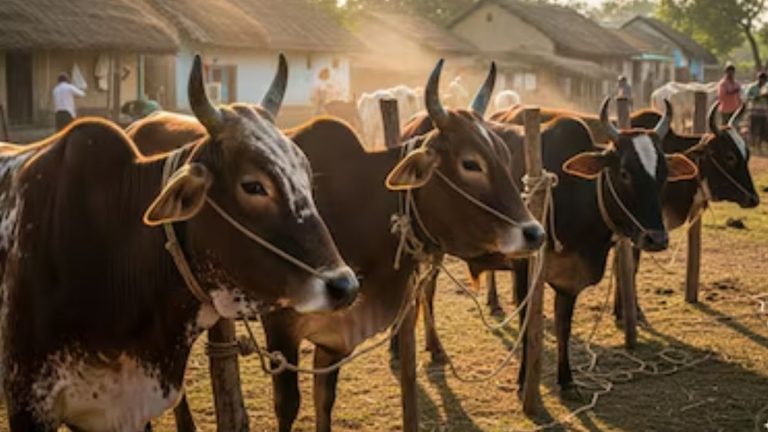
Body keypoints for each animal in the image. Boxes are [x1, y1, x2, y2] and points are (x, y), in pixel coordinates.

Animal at [411, 82, 699, 396]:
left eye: (663, 174)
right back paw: (426, 348)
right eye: (624, 172)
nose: (656, 239)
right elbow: (527, 326)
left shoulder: (569, 280)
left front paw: (567, 380)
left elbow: (564, 326)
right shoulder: (525, 268)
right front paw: (524, 380)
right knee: (424, 290)